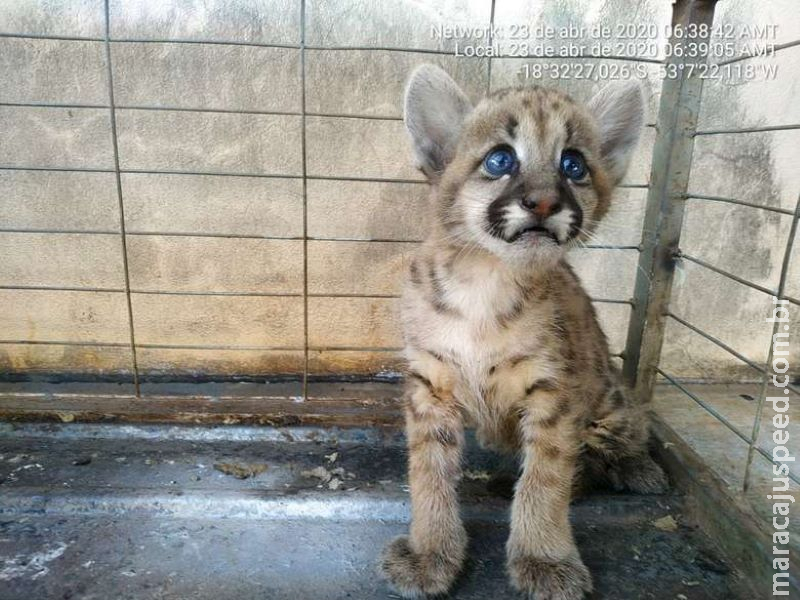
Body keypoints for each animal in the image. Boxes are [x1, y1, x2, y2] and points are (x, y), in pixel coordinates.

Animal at [382, 67, 668, 600]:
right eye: (500, 160)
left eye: (573, 164)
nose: (544, 202)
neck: (485, 279)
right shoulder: (431, 386)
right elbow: (428, 473)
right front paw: (430, 552)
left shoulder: (554, 392)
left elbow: (546, 478)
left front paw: (544, 558)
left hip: (609, 404)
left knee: (621, 438)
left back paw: (636, 467)